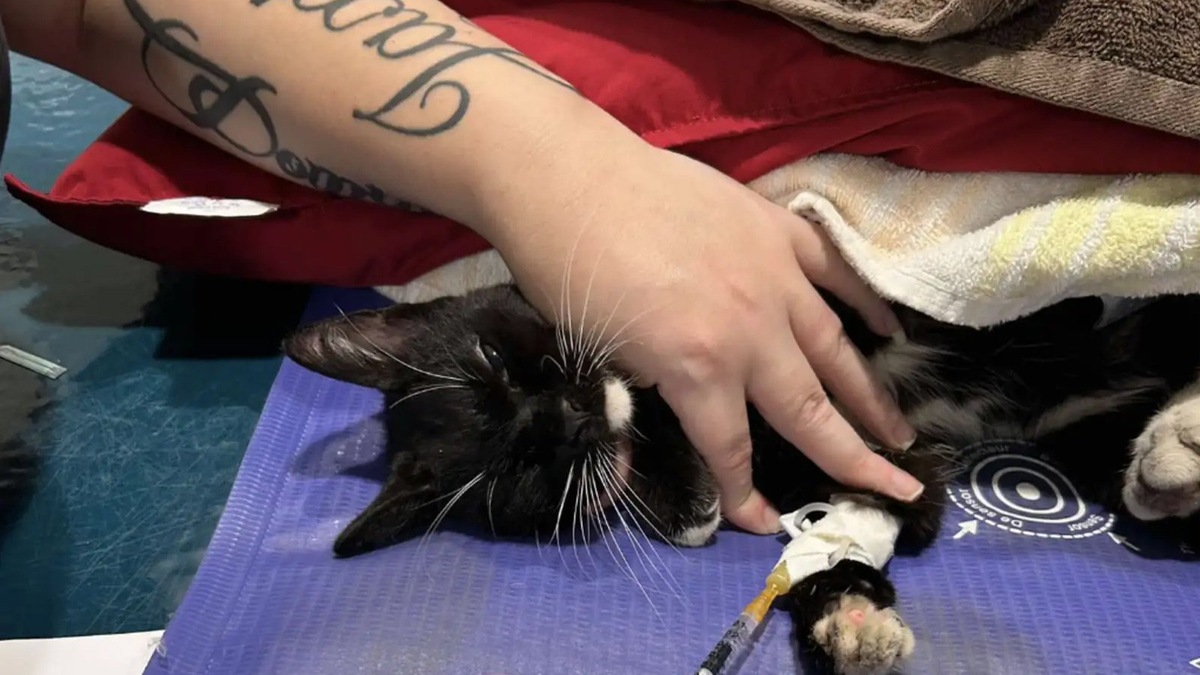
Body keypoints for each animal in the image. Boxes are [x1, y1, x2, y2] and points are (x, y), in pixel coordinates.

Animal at [283, 284, 1200, 675]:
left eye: (494, 364)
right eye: (527, 466)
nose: (568, 419)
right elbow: (835, 529)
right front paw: (849, 615)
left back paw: (1173, 433)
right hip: (1082, 429)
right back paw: (1169, 463)